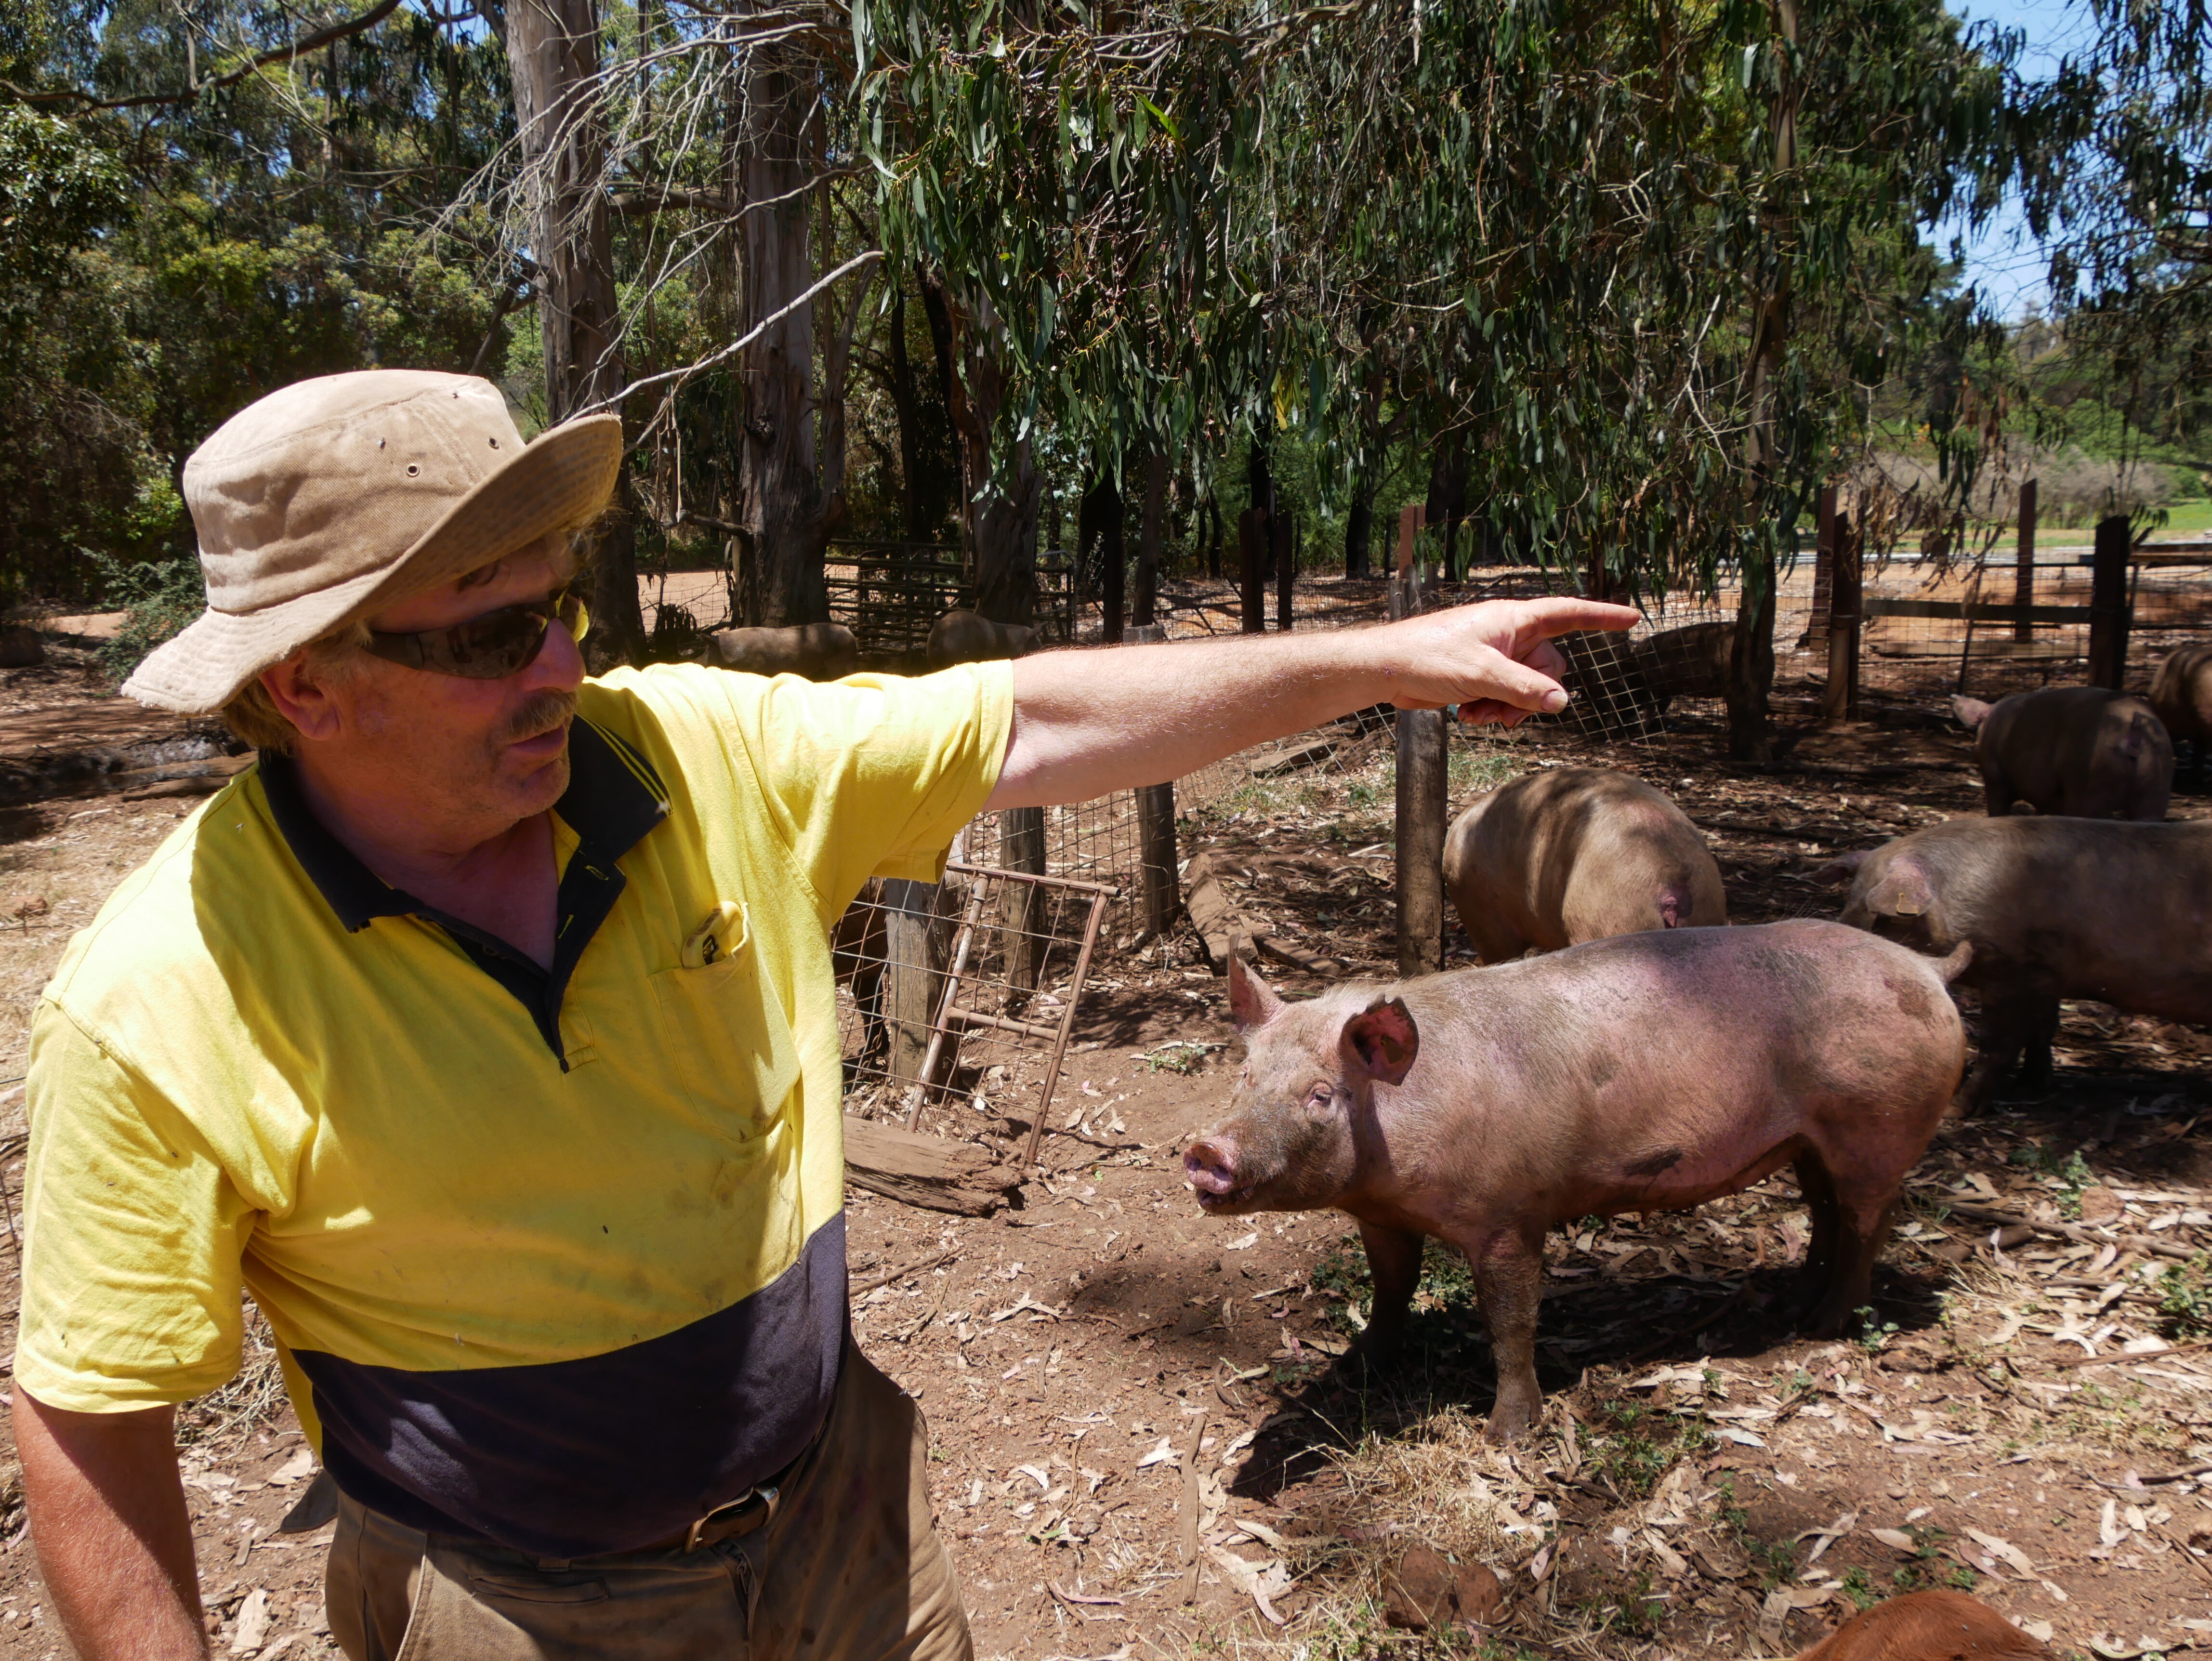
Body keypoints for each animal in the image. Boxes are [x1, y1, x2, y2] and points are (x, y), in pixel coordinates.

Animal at [1183, 923, 1968, 1439]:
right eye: (1247, 1075)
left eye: (1321, 1095)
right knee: (1826, 1209)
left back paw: (1823, 1326)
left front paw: (1506, 1435)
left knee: (1869, 1219)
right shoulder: (1379, 1217)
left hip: (1878, 1124)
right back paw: (1797, 1301)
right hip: (1810, 1139)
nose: (1206, 1148)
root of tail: (1928, 966)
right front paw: (1360, 1367)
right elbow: (1390, 1290)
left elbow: (1511, 1320)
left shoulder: (1511, 1214)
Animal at [1824, 817, 2212, 1111]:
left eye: (1877, 916)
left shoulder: (2017, 973)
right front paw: (2034, 1085)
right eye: (1848, 899)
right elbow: (2044, 1030)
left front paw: (1956, 1112)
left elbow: (1999, 1045)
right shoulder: (2048, 975)